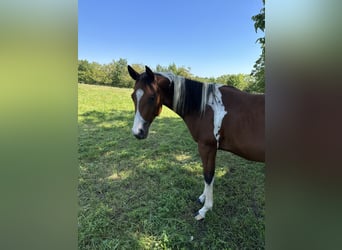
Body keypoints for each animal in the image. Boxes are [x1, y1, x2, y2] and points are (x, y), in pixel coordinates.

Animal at [127, 65, 264, 221]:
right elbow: (209, 174)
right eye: (133, 96)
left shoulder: (207, 147)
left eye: (151, 97)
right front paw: (203, 198)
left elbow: (208, 175)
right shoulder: (210, 148)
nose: (137, 132)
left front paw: (204, 210)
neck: (207, 107)